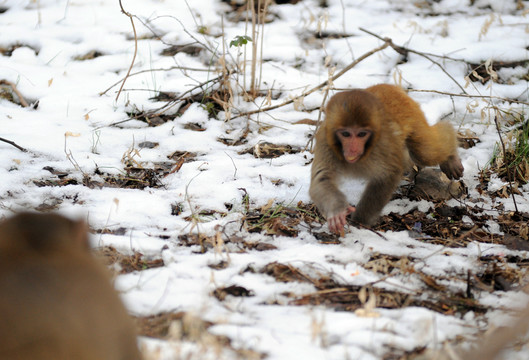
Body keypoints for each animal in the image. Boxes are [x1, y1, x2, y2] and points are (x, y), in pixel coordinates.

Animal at [310, 84, 462, 233]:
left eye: (361, 134)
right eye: (346, 134)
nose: (353, 149)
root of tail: (389, 86)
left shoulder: (383, 144)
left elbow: (387, 176)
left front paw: (360, 221)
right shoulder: (325, 143)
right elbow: (321, 178)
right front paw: (337, 212)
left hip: (414, 116)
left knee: (425, 152)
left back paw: (451, 155)